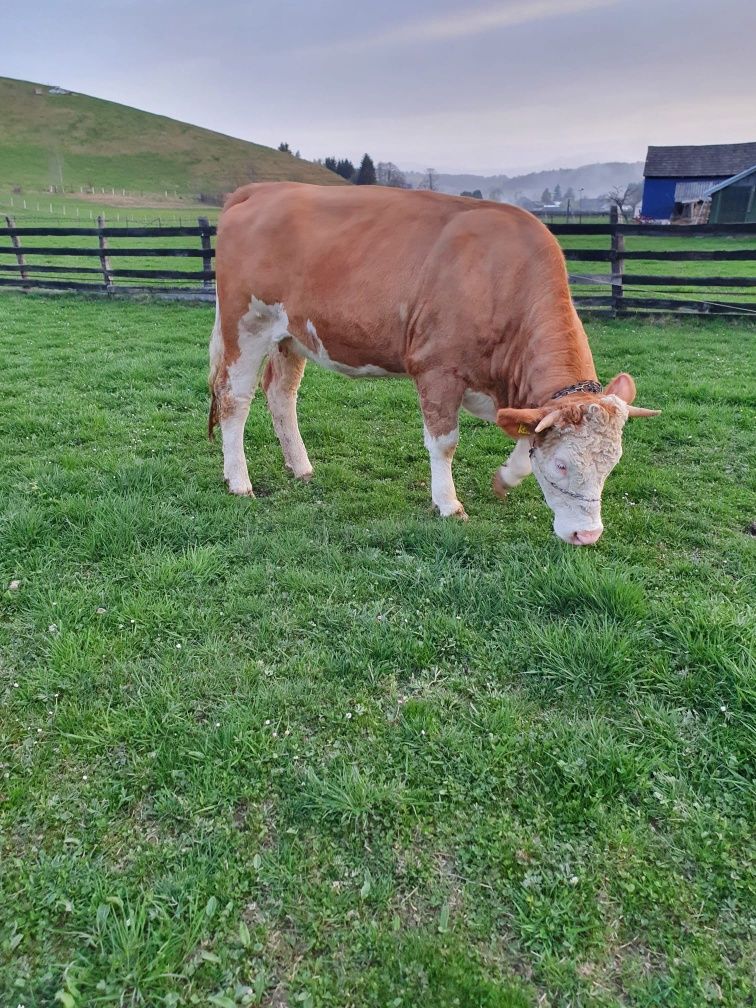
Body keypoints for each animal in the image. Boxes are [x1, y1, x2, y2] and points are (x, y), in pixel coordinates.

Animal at [207, 181, 657, 544]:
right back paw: (239, 481)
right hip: (247, 324)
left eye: (612, 464)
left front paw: (505, 478)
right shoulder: (438, 369)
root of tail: (262, 189)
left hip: (291, 337)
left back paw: (300, 466)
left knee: (281, 394)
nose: (588, 535)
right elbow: (445, 443)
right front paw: (448, 504)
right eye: (562, 465)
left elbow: (525, 440)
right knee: (234, 398)